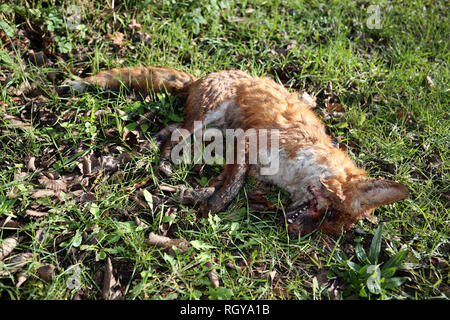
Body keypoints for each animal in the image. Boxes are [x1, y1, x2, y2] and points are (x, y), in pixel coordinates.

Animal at [61, 65, 410, 235]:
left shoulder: (247, 161)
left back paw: (160, 151)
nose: (296, 234)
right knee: (177, 134)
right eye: (329, 213)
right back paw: (163, 163)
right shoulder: (247, 144)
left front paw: (197, 197)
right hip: (207, 119)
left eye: (331, 227)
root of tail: (203, 75)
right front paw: (210, 206)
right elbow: (231, 186)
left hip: (211, 133)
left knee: (171, 130)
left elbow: (225, 184)